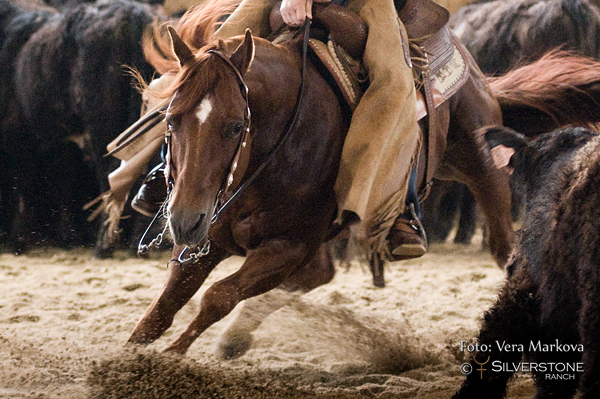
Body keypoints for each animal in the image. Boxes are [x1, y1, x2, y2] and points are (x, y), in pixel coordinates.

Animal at [126, 4, 600, 354]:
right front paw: (132, 358)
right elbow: (162, 307)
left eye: (234, 127)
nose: (184, 218)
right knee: (317, 275)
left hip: (485, 171)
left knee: (506, 251)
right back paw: (237, 338)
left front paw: (170, 359)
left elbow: (217, 296)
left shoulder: (286, 246)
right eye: (171, 119)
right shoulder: (212, 238)